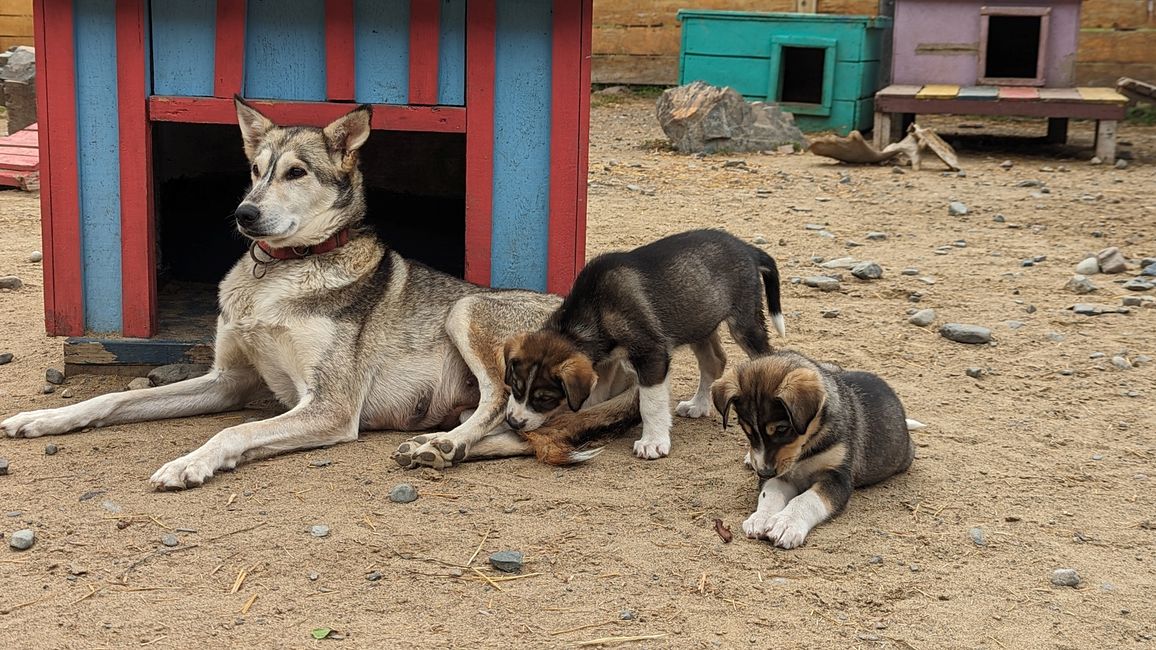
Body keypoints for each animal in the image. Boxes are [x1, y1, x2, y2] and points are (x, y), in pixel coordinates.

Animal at [0, 98, 638, 485]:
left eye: (297, 173)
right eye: (255, 169)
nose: (244, 214)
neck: (279, 274)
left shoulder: (329, 406)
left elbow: (235, 430)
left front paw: (189, 464)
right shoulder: (227, 381)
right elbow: (112, 399)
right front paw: (42, 419)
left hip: (467, 308)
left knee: (501, 404)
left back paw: (443, 445)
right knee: (519, 430)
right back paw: (436, 448)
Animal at [499, 227, 781, 460]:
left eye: (544, 398)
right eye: (515, 385)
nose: (513, 422)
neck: (594, 310)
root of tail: (747, 248)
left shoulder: (652, 355)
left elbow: (650, 404)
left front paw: (653, 442)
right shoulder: (603, 364)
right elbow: (595, 398)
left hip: (744, 322)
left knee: (765, 356)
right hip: (699, 321)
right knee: (714, 361)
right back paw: (698, 405)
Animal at [707, 349, 915, 545]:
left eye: (782, 429)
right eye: (746, 429)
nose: (763, 473)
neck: (806, 448)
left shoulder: (837, 477)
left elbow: (806, 500)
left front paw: (786, 523)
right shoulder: (782, 475)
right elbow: (770, 494)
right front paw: (760, 518)